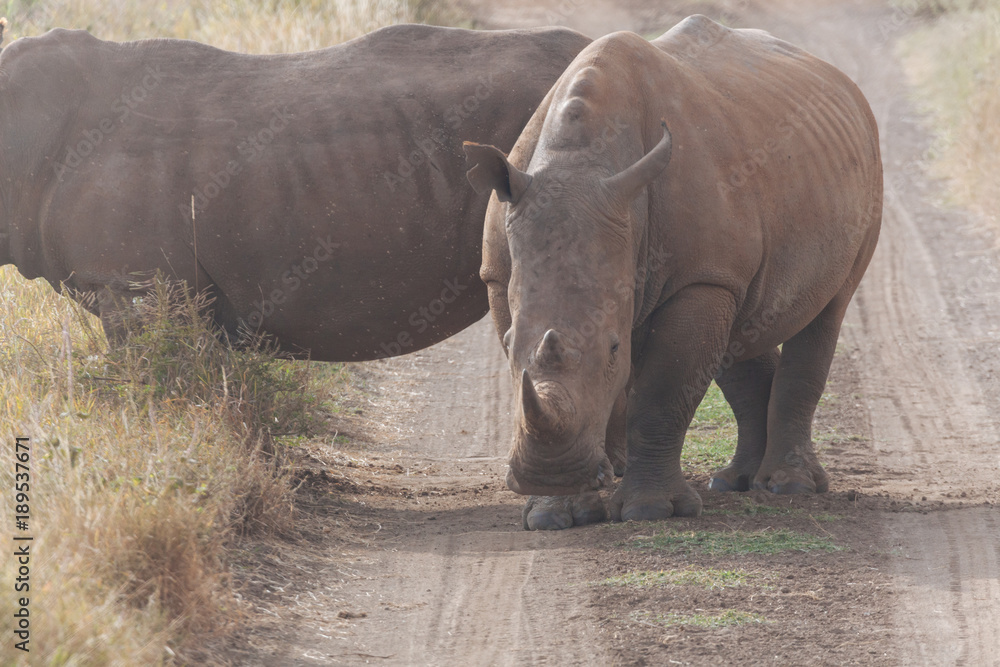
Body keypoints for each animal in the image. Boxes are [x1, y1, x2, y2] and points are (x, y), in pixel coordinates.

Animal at [465, 15, 882, 529]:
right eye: (505, 346)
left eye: (614, 349)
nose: (551, 474)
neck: (581, 162)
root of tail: (842, 81)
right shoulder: (499, 273)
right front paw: (555, 514)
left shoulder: (699, 278)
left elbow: (664, 390)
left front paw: (649, 511)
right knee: (743, 327)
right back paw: (736, 482)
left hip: (863, 174)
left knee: (828, 311)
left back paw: (790, 487)